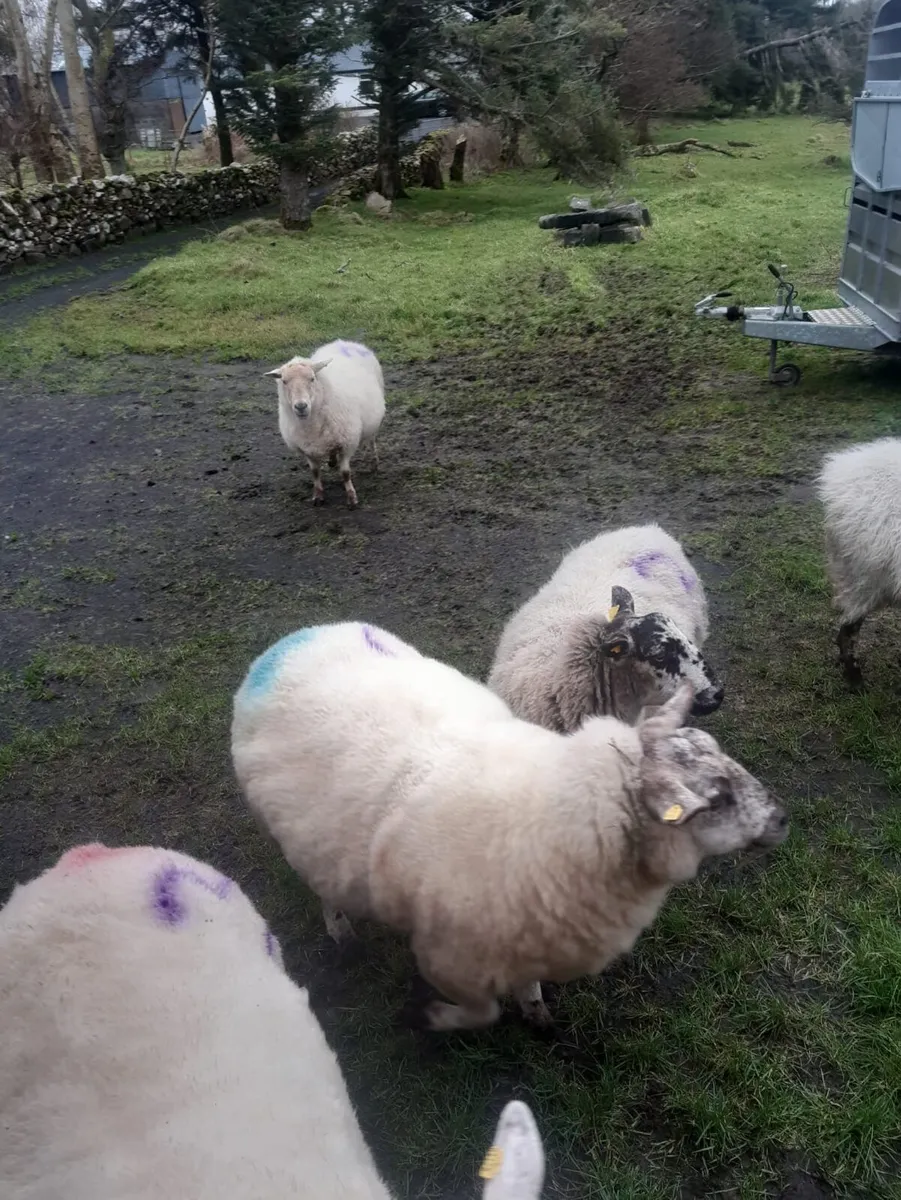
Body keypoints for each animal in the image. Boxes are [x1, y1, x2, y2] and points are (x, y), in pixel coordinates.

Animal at [231, 621, 788, 1034]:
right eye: (715, 798)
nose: (783, 818)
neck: (548, 810)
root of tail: (292, 639)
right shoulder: (449, 956)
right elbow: (484, 1012)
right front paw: (433, 1017)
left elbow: (525, 989)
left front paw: (537, 1014)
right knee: (322, 885)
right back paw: (341, 931)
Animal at [266, 338, 385, 509]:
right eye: (284, 381)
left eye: (312, 378)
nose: (301, 406)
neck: (310, 425)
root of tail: (345, 342)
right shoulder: (307, 449)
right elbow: (315, 473)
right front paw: (318, 496)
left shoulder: (347, 442)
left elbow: (345, 473)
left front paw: (351, 498)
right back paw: (332, 461)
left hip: (372, 423)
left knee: (371, 441)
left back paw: (374, 463)